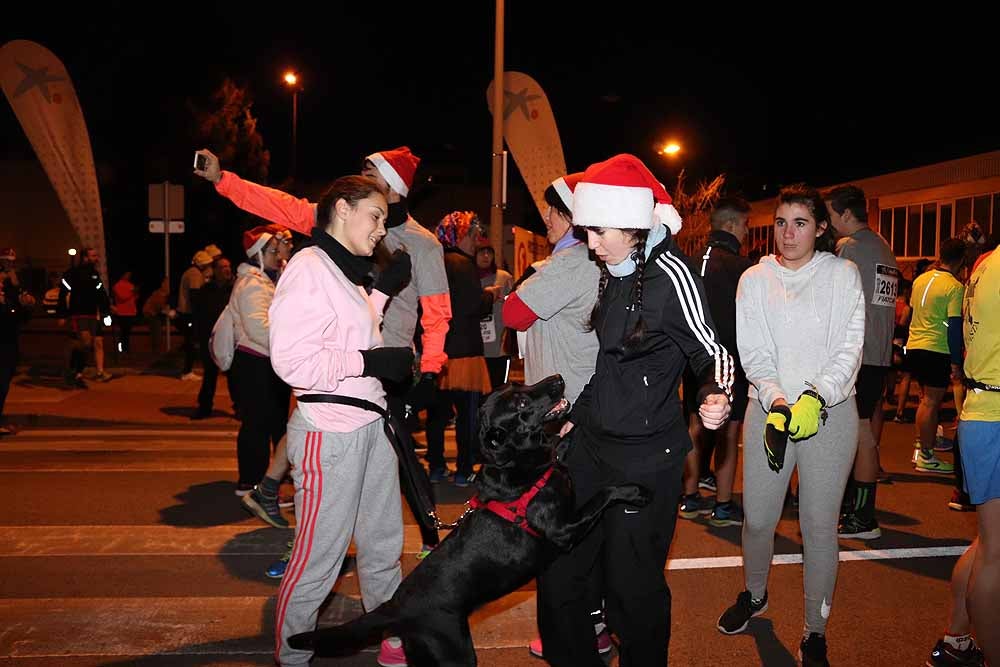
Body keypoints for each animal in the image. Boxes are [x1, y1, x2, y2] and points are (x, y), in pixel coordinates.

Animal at [290, 376, 652, 667]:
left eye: (520, 386)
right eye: (521, 403)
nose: (558, 380)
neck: (516, 466)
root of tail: (395, 605)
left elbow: (559, 450)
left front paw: (567, 437)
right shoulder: (564, 530)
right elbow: (602, 494)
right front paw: (632, 491)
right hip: (454, 652)